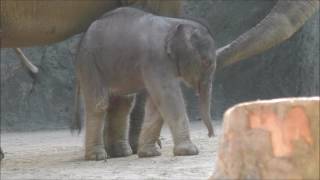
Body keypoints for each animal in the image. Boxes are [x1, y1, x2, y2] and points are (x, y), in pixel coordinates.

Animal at [74, 6, 215, 160]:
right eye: (206, 62)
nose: (211, 135)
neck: (175, 24)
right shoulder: (156, 59)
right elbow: (168, 96)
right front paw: (189, 151)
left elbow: (156, 102)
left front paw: (149, 154)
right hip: (90, 63)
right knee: (99, 105)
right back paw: (97, 156)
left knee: (122, 105)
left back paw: (121, 153)